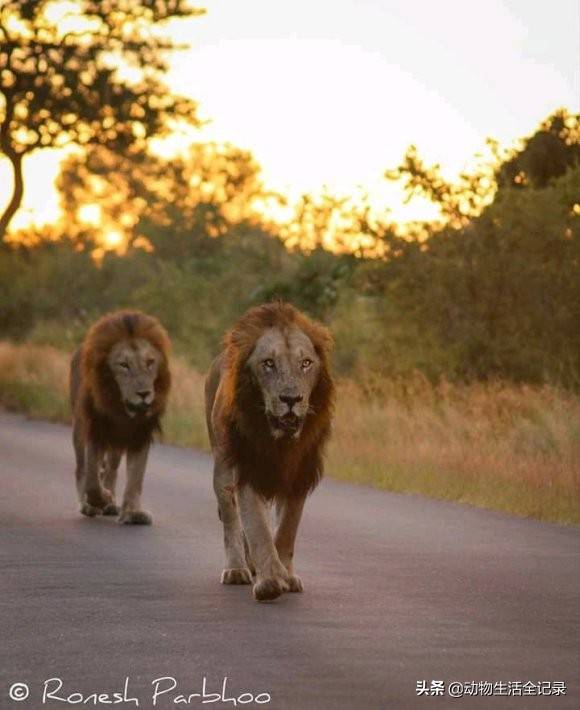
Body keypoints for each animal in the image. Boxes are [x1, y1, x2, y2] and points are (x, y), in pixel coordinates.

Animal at [69, 314, 171, 524]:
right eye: (124, 365)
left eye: (150, 362)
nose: (144, 394)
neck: (123, 412)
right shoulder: (95, 430)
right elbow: (92, 480)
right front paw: (101, 499)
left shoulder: (140, 435)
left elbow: (136, 476)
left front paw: (133, 512)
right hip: (80, 428)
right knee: (82, 468)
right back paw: (90, 505)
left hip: (116, 444)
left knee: (111, 469)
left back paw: (110, 504)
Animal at [205, 300, 336, 600]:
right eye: (268, 363)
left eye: (305, 363)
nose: (291, 399)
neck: (280, 441)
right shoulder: (247, 470)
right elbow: (258, 529)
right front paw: (271, 581)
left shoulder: (299, 476)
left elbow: (286, 529)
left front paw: (286, 574)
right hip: (222, 468)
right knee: (231, 520)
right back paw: (237, 569)